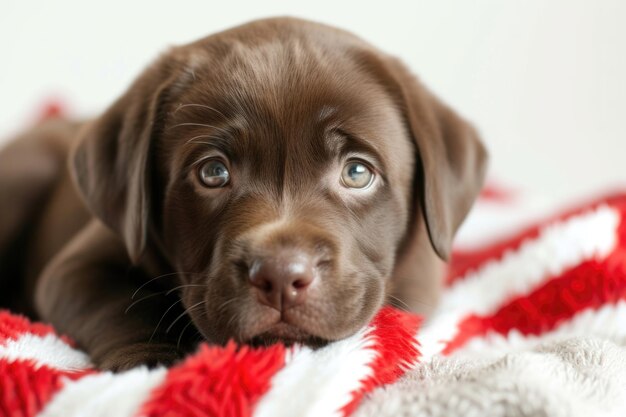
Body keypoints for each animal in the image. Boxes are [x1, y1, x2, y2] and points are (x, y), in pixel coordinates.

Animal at [0, 16, 488, 368]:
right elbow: (120, 305)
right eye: (213, 172)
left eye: (356, 172)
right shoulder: (76, 267)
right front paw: (153, 363)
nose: (280, 277)